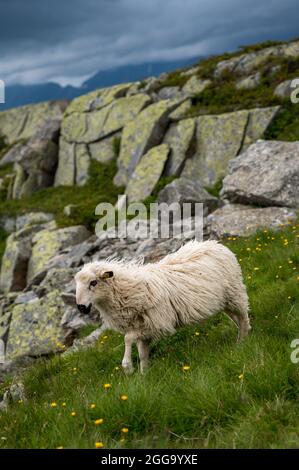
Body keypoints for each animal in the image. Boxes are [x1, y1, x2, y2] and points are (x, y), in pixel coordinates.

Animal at [74, 241, 251, 372]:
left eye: (93, 282)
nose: (81, 307)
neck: (129, 289)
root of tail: (217, 244)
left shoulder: (157, 323)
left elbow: (127, 338)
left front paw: (128, 366)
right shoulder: (142, 326)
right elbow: (142, 353)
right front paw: (144, 375)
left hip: (234, 293)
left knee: (243, 316)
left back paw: (241, 342)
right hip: (224, 301)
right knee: (237, 318)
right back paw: (243, 334)